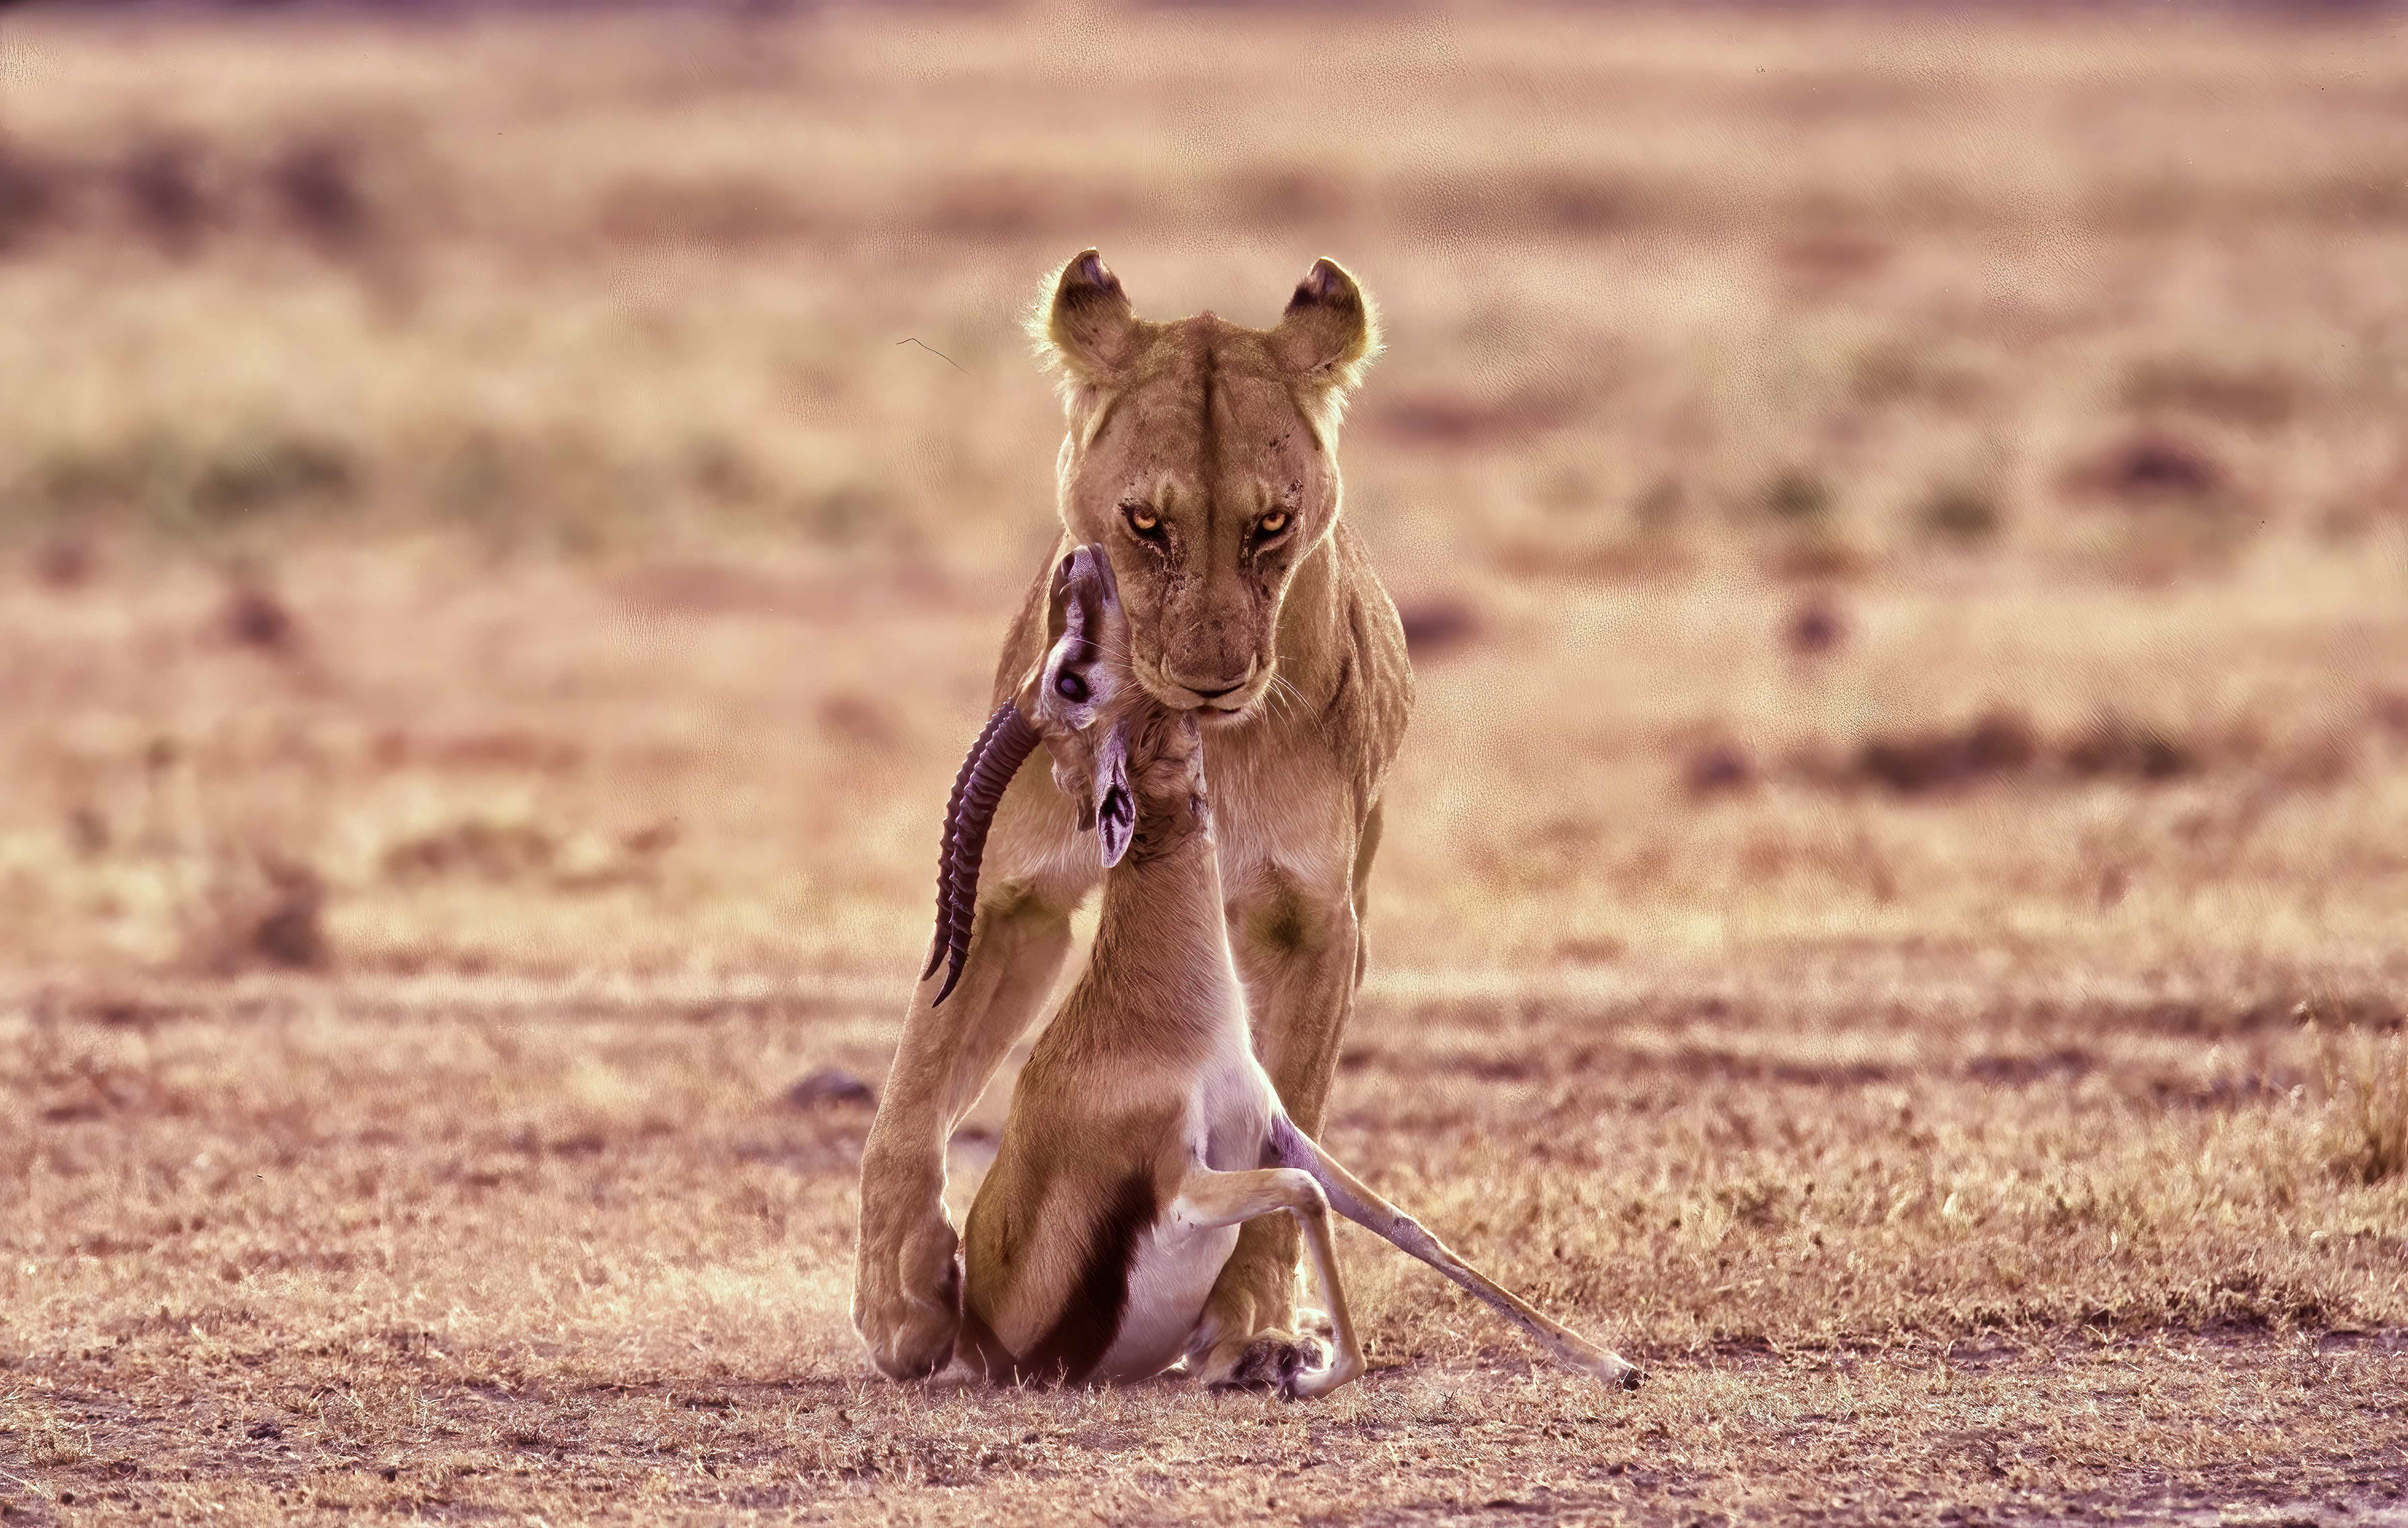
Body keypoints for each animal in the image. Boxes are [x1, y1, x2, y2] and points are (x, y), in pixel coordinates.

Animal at [924, 544, 1642, 1397]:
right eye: (1070, 681)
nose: (1078, 560)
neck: (1169, 1022)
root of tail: (980, 1338)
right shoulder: (1190, 1185)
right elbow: (1308, 1201)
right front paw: (1322, 1373)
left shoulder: (1278, 1130)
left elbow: (1407, 1224)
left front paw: (1612, 1362)